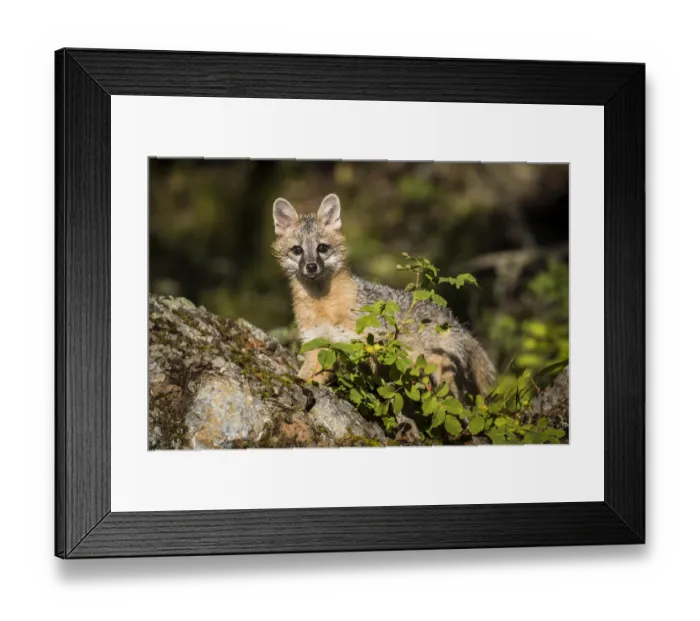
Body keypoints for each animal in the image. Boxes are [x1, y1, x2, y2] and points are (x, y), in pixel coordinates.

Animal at [272, 193, 496, 434]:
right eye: (297, 250)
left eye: (322, 248)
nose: (312, 266)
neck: (324, 306)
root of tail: (451, 317)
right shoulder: (318, 345)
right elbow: (308, 374)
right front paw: (296, 383)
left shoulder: (368, 344)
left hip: (426, 364)